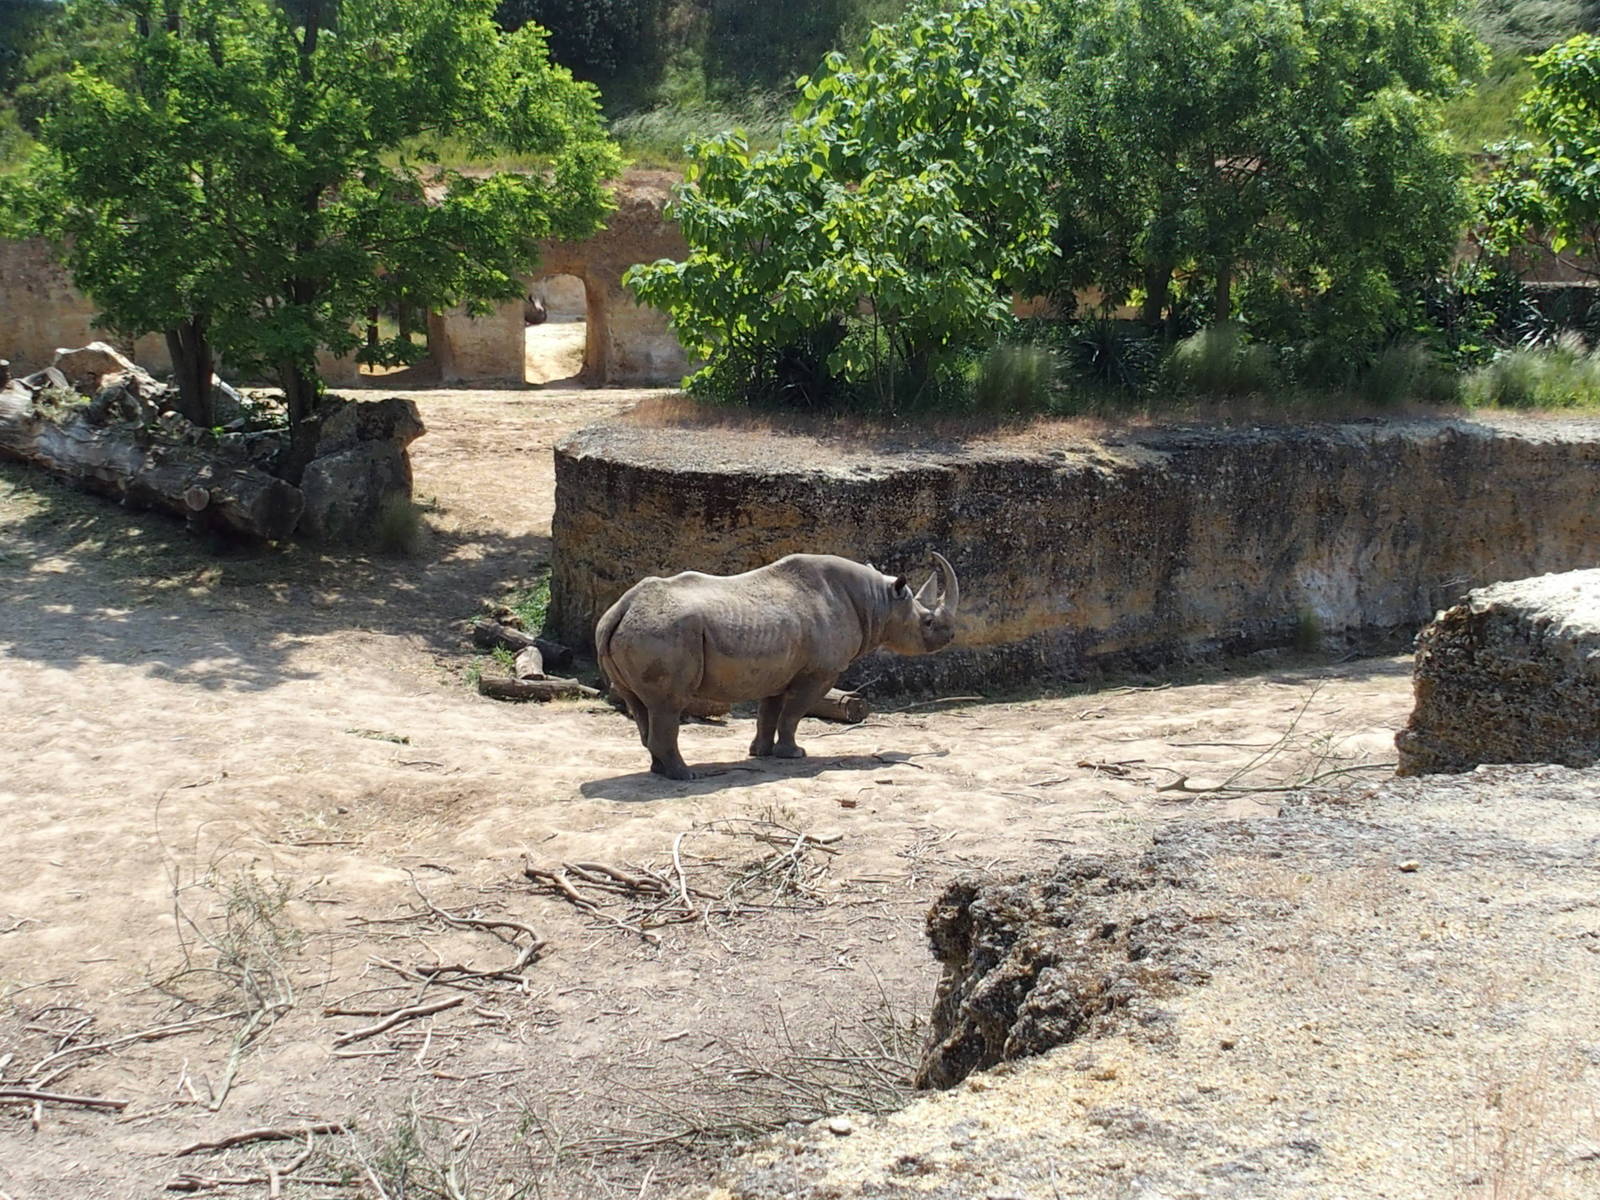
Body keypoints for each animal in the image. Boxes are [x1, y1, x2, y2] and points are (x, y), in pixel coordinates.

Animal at [596, 552, 961, 780]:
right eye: (928, 622)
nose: (950, 636)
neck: (878, 601)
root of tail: (621, 609)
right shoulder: (819, 672)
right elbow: (793, 713)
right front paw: (794, 754)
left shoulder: (774, 667)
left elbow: (768, 712)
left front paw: (761, 753)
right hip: (663, 632)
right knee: (668, 705)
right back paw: (686, 776)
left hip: (636, 630)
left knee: (640, 704)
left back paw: (660, 770)